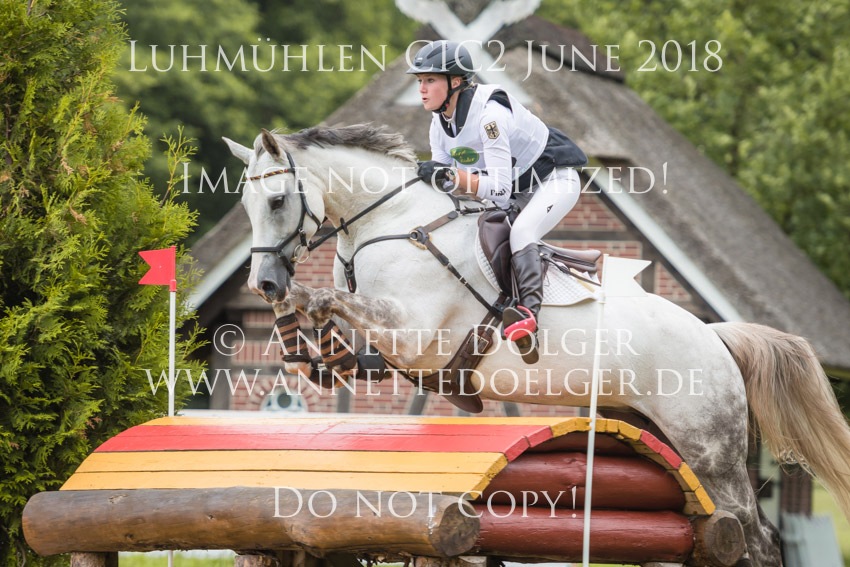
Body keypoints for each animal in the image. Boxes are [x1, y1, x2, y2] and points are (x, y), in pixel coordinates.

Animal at [224, 123, 850, 566]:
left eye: (277, 201)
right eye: (247, 206)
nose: (263, 283)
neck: (391, 221)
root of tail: (715, 336)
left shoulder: (413, 333)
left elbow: (330, 300)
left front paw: (302, 313)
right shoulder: (390, 348)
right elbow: (334, 324)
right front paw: (299, 334)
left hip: (710, 449)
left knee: (755, 539)